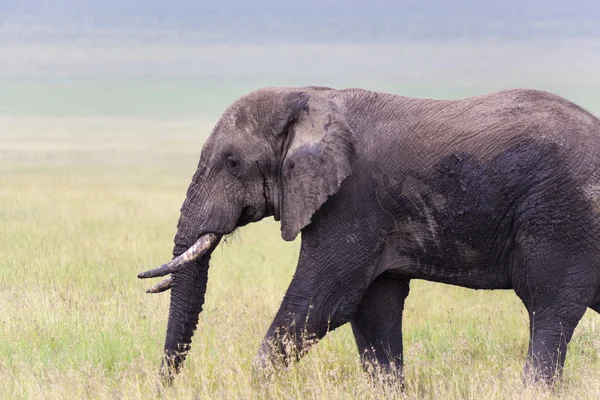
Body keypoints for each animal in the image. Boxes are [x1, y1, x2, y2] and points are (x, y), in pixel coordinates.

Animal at [138, 86, 600, 384]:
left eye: (232, 163)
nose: (164, 385)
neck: (310, 96)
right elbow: (373, 310)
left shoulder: (352, 201)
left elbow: (323, 302)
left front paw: (253, 386)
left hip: (562, 214)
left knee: (549, 309)